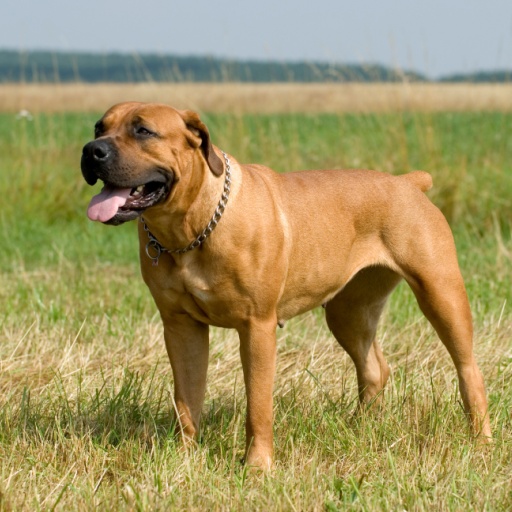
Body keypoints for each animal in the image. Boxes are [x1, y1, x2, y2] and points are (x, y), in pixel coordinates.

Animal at [82, 102, 490, 470]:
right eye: (98, 127)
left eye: (143, 131)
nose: (91, 150)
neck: (191, 227)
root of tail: (408, 182)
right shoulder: (181, 326)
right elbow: (187, 399)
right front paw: (183, 456)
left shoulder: (257, 327)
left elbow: (258, 405)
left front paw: (257, 465)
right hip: (349, 312)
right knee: (375, 367)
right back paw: (359, 428)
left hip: (440, 292)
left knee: (468, 369)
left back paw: (481, 439)